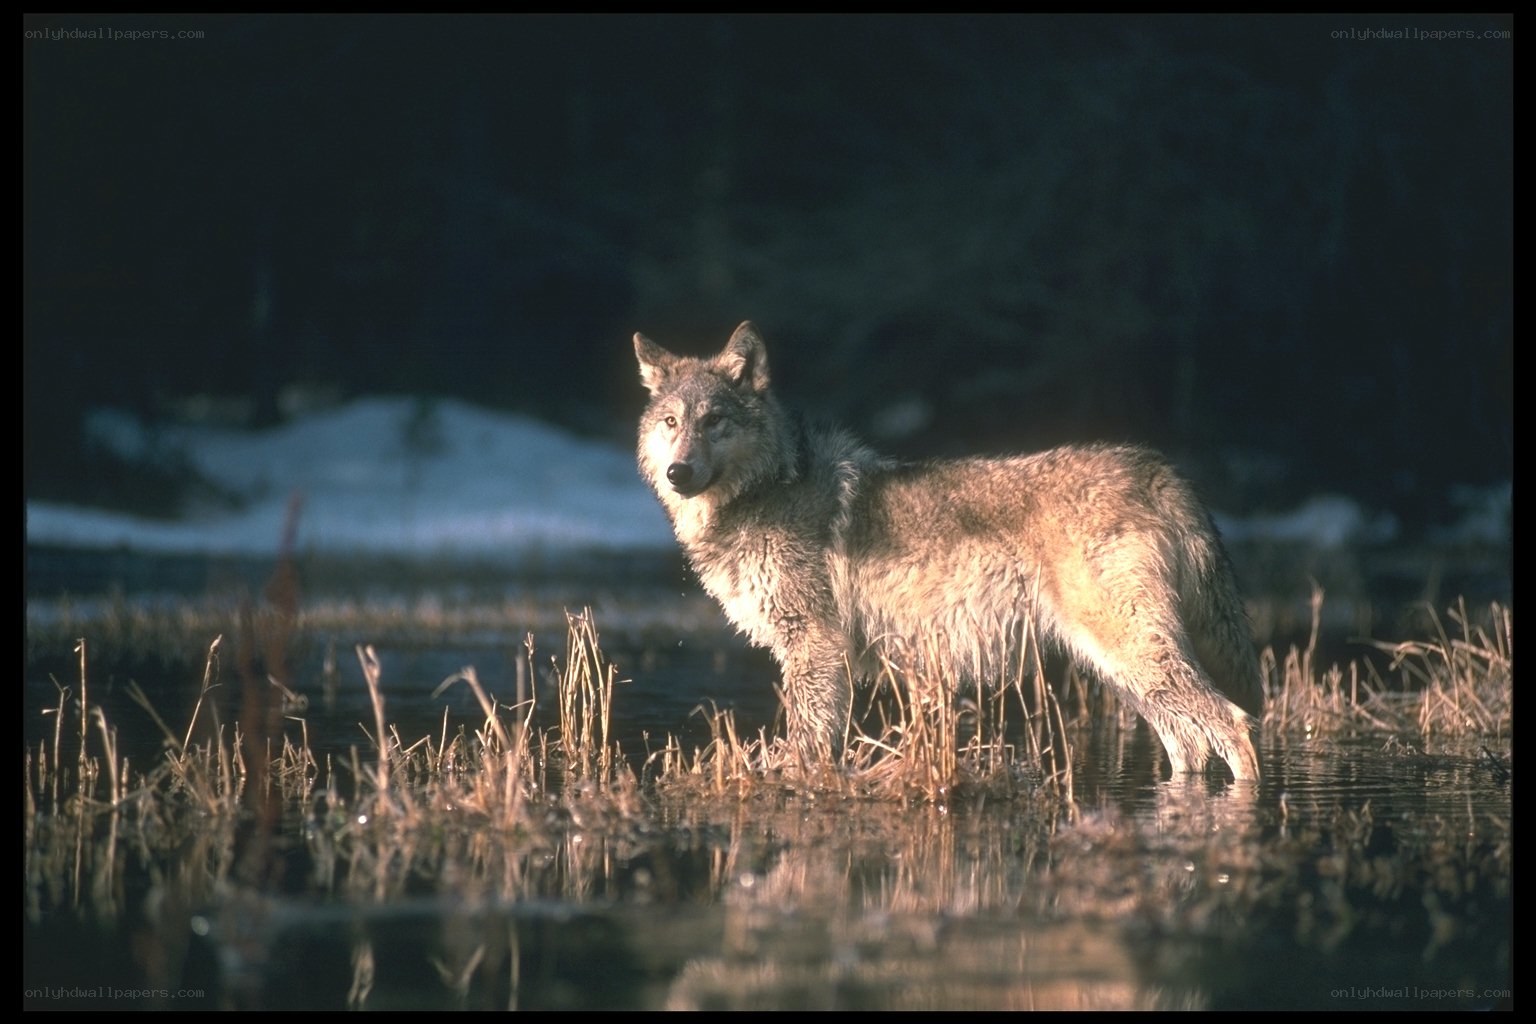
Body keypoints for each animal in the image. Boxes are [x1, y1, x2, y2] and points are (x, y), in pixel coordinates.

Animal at [633, 322, 1263, 780]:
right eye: (671, 422)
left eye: (715, 421)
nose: (678, 472)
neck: (767, 490)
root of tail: (1157, 468)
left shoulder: (816, 645)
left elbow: (808, 739)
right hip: (1127, 675)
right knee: (1191, 747)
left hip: (1133, 657)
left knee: (1236, 726)